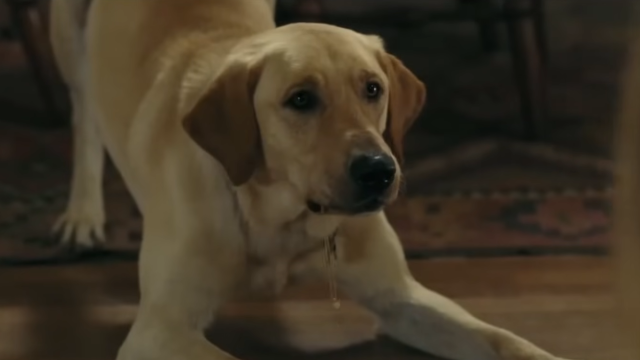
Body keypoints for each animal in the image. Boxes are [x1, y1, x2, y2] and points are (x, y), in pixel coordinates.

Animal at [48, 0, 568, 360]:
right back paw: (83, 212)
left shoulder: (401, 299)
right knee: (82, 111)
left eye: (373, 89)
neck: (280, 218)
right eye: (300, 99)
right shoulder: (160, 331)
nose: (379, 170)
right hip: (67, 34)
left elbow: (506, 341)